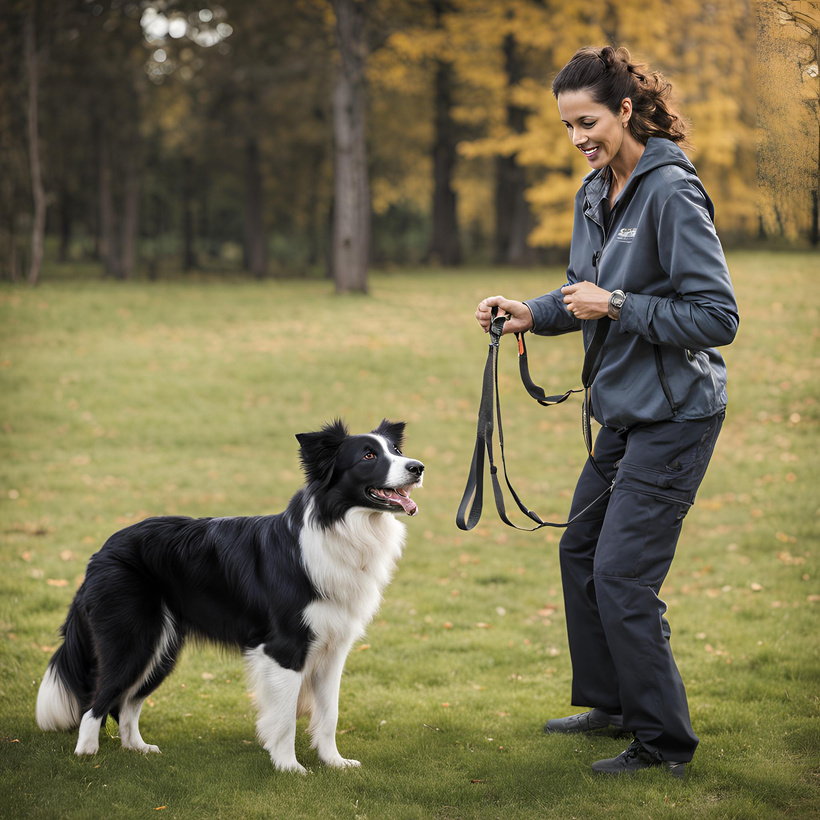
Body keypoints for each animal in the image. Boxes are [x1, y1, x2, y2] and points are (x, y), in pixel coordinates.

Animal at [36, 420, 422, 772]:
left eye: (396, 450)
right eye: (368, 456)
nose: (418, 467)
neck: (340, 526)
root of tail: (101, 552)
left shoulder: (333, 648)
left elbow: (329, 714)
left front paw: (334, 763)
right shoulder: (285, 647)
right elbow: (284, 718)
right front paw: (289, 768)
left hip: (162, 647)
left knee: (127, 702)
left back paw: (138, 748)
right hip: (131, 640)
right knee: (98, 700)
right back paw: (86, 755)